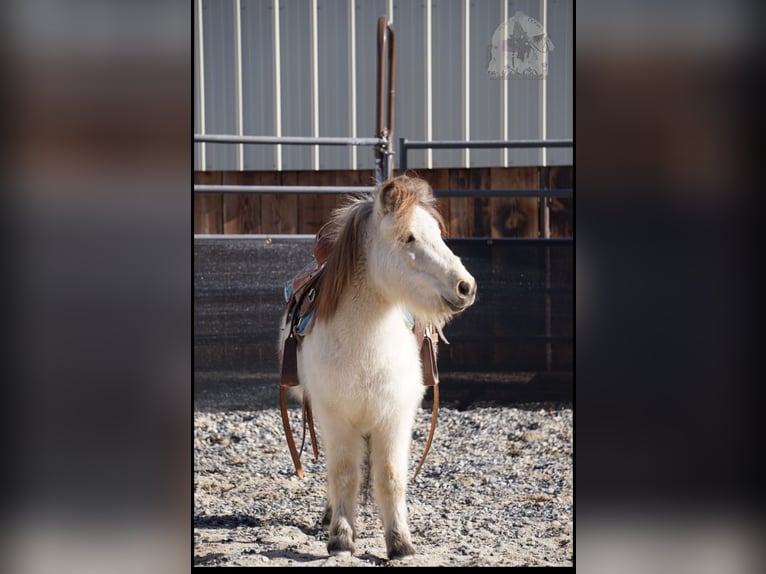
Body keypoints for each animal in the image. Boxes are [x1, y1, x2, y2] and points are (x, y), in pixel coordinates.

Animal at [280, 177, 476, 564]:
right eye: (409, 238)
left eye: (437, 234)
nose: (466, 287)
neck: (365, 343)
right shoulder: (335, 416)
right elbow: (344, 475)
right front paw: (341, 539)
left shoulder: (395, 416)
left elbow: (390, 477)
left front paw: (400, 543)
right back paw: (330, 516)